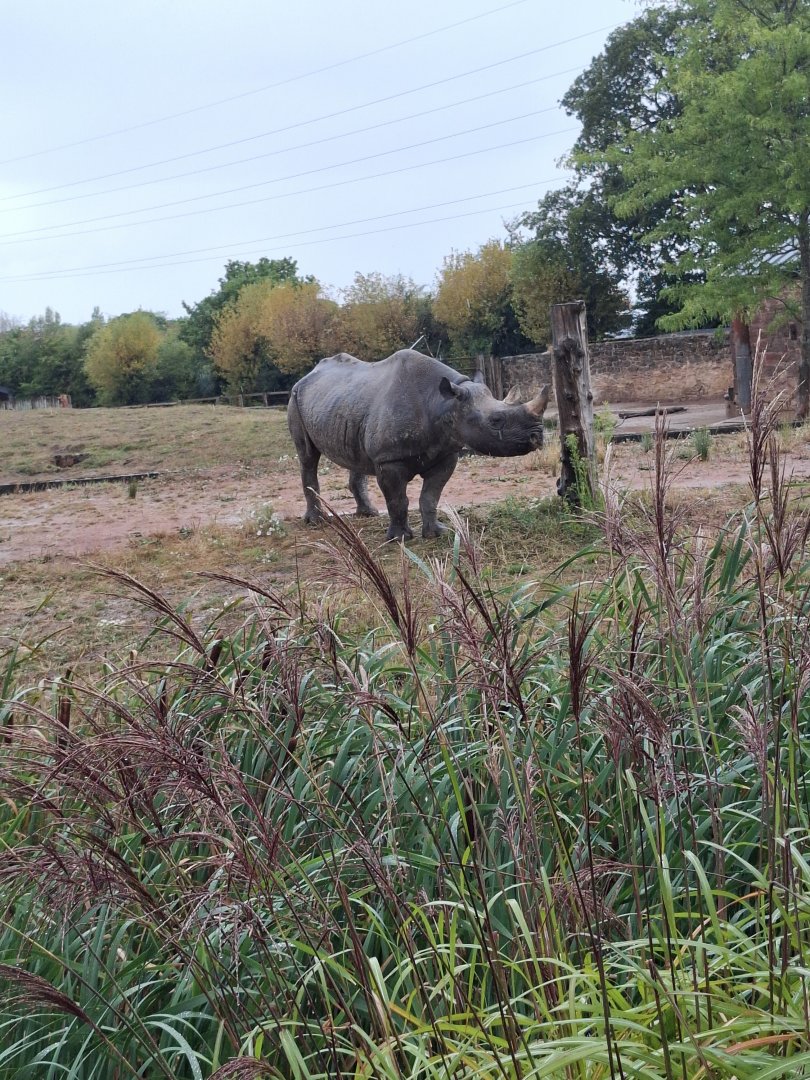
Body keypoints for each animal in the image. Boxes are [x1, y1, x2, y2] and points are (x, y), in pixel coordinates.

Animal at [287, 349, 549, 541]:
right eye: (496, 421)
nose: (538, 437)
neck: (444, 403)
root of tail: (309, 374)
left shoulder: (446, 453)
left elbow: (430, 496)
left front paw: (436, 533)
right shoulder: (389, 459)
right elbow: (397, 501)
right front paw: (400, 539)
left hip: (345, 405)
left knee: (356, 457)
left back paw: (368, 514)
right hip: (295, 396)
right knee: (307, 456)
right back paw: (316, 521)